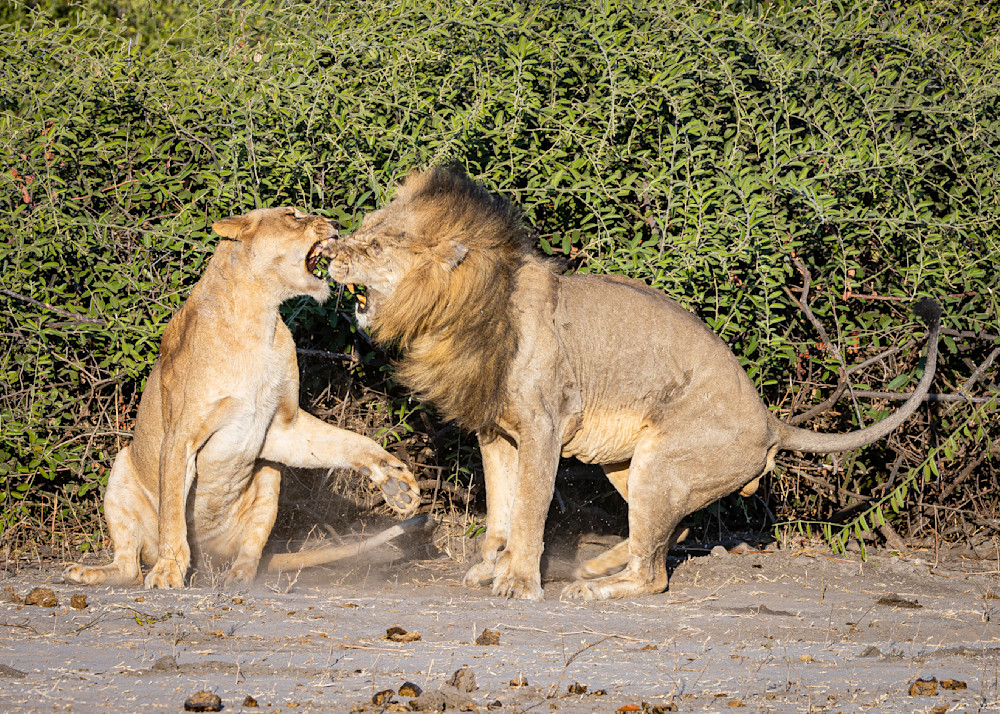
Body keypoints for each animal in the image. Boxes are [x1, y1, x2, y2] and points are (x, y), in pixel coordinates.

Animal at [64, 207, 422, 589]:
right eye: (293, 215)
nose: (337, 224)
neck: (258, 318)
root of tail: (208, 560)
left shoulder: (282, 427)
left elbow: (348, 442)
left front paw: (396, 482)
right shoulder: (180, 434)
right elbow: (172, 512)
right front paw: (168, 571)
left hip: (268, 477)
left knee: (251, 551)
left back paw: (238, 577)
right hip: (121, 466)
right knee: (130, 566)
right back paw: (88, 572)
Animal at [322, 167, 941, 601]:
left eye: (373, 246)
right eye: (363, 230)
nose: (326, 251)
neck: (457, 312)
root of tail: (770, 422)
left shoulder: (544, 427)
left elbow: (528, 508)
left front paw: (519, 581)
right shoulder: (496, 435)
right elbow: (499, 509)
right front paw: (490, 565)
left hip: (660, 466)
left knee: (655, 575)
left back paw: (592, 586)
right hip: (631, 465)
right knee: (668, 538)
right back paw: (598, 565)